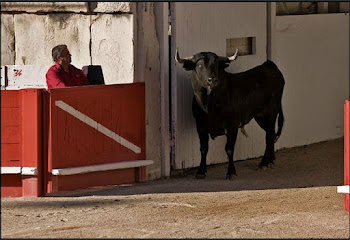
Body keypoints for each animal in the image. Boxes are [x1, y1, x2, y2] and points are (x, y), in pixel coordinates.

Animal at [176, 49, 286, 179]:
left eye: (217, 65)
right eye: (199, 65)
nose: (212, 80)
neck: (209, 104)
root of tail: (269, 65)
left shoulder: (232, 125)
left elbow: (229, 148)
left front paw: (231, 172)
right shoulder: (200, 125)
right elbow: (203, 148)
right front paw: (201, 171)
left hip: (271, 113)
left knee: (269, 135)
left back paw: (264, 162)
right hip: (260, 116)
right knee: (271, 133)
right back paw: (270, 159)